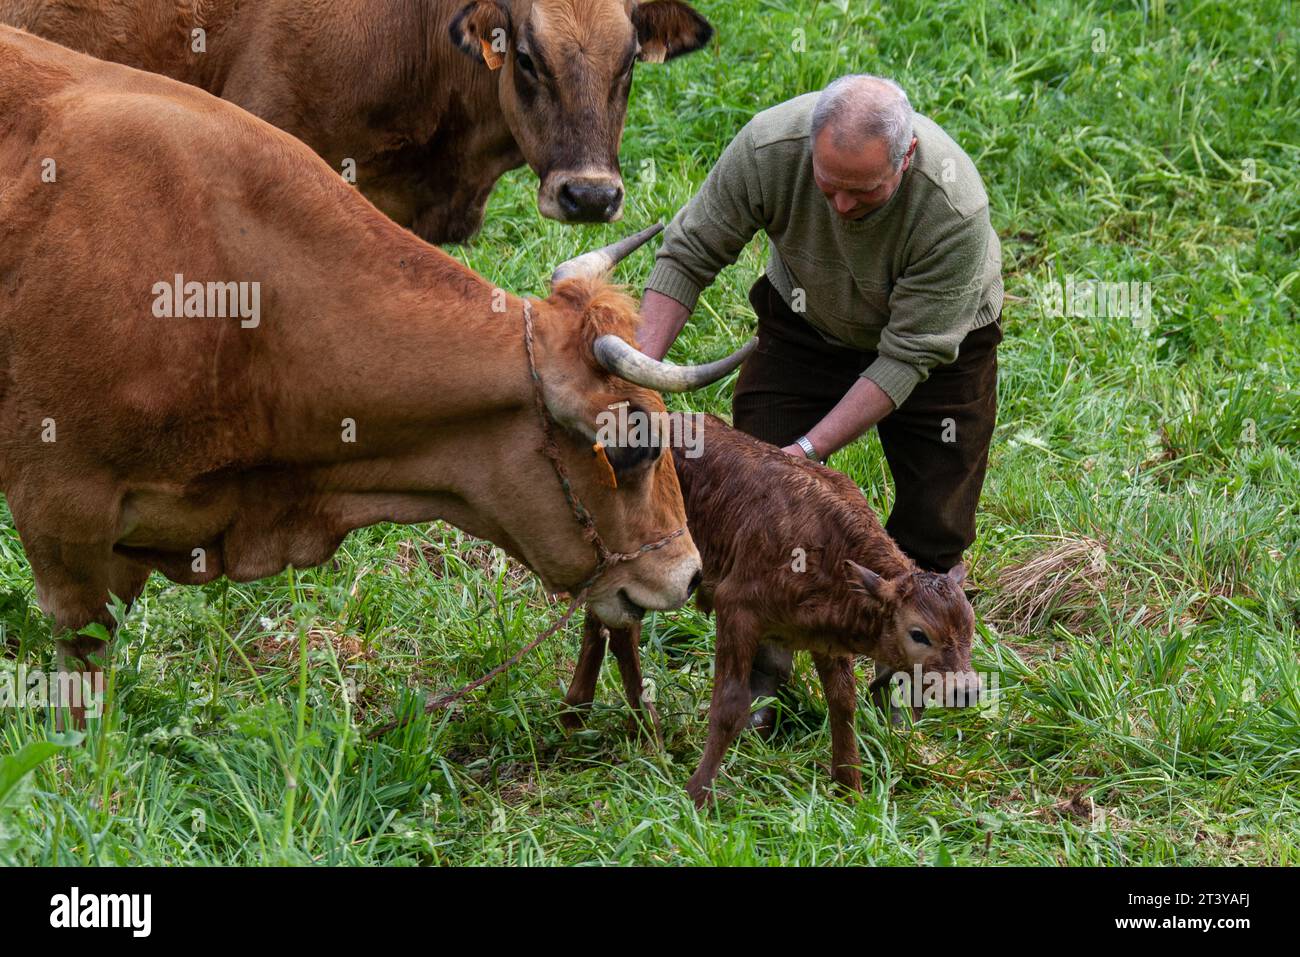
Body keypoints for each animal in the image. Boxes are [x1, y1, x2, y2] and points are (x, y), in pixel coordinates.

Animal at [564, 416, 977, 806]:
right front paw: (697, 795)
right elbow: (730, 706)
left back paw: (580, 711)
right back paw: (641, 727)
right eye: (919, 633)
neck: (827, 550)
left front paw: (850, 790)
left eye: (970, 631)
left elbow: (842, 703)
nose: (966, 691)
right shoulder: (736, 607)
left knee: (602, 618)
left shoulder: (827, 637)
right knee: (622, 631)